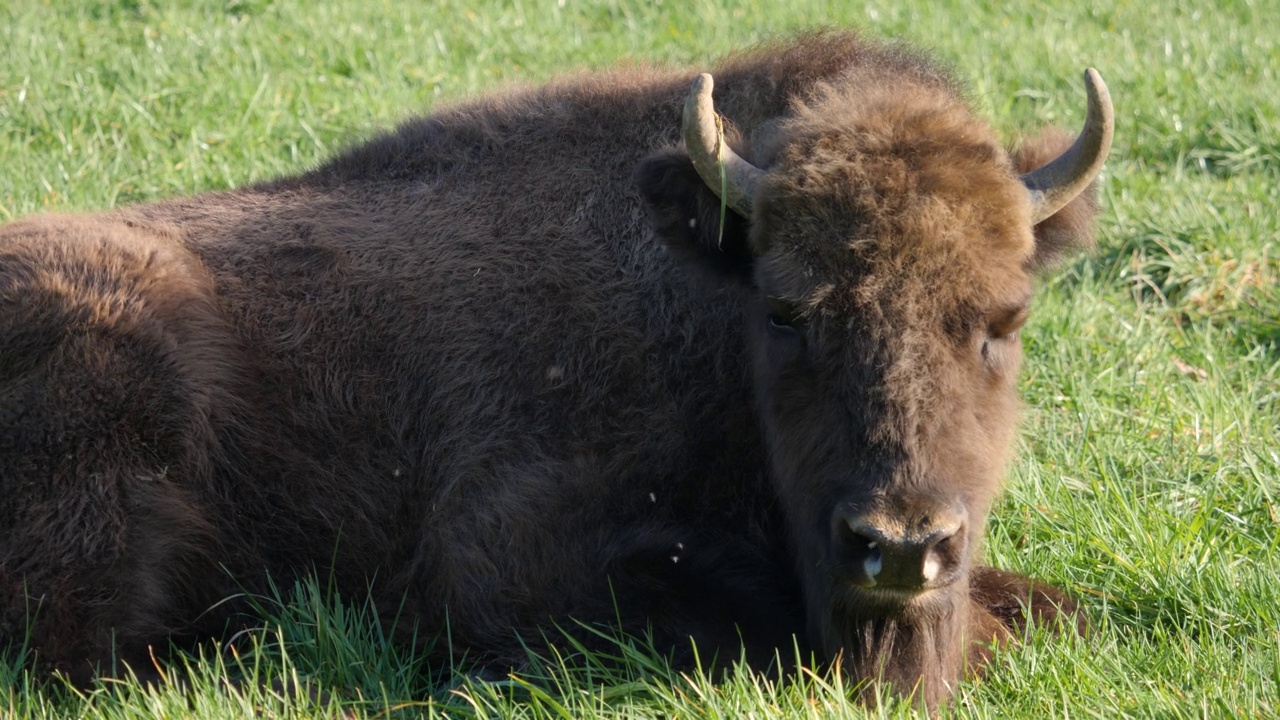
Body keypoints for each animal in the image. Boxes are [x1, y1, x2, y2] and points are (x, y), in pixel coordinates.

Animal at [0, 30, 1105, 702]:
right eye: (788, 311)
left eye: (1001, 319)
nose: (901, 546)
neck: (702, 300)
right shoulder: (498, 552)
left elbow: (1053, 608)